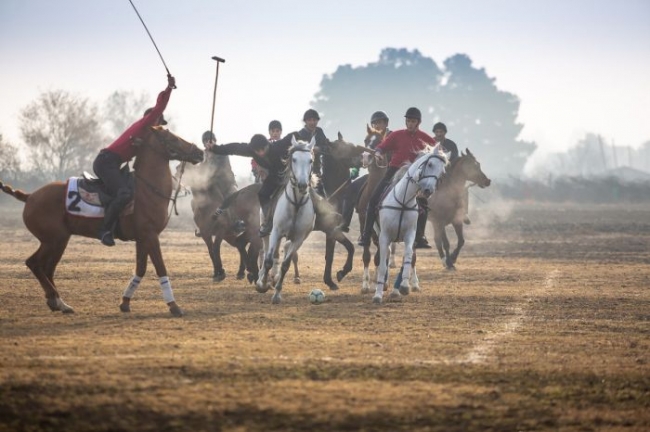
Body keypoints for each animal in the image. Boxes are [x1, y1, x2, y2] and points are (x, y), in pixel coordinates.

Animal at [0, 126, 202, 316]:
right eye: (173, 138)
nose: (199, 152)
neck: (147, 189)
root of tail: (30, 196)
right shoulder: (150, 236)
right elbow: (160, 268)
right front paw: (174, 306)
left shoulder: (143, 238)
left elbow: (141, 268)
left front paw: (125, 302)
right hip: (53, 240)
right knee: (34, 264)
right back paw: (57, 300)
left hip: (59, 240)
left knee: (47, 268)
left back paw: (59, 303)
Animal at [253, 136, 314, 304]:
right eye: (293, 159)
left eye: (311, 160)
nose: (302, 184)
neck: (296, 204)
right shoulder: (276, 231)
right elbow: (268, 260)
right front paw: (262, 285)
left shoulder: (298, 238)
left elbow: (286, 264)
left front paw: (277, 294)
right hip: (267, 231)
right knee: (266, 251)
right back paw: (262, 278)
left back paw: (274, 278)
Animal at [362, 148, 448, 304]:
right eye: (430, 164)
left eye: (442, 171)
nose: (428, 191)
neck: (403, 202)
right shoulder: (384, 236)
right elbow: (382, 264)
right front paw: (377, 295)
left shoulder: (410, 235)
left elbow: (408, 258)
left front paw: (404, 287)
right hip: (377, 234)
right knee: (382, 255)